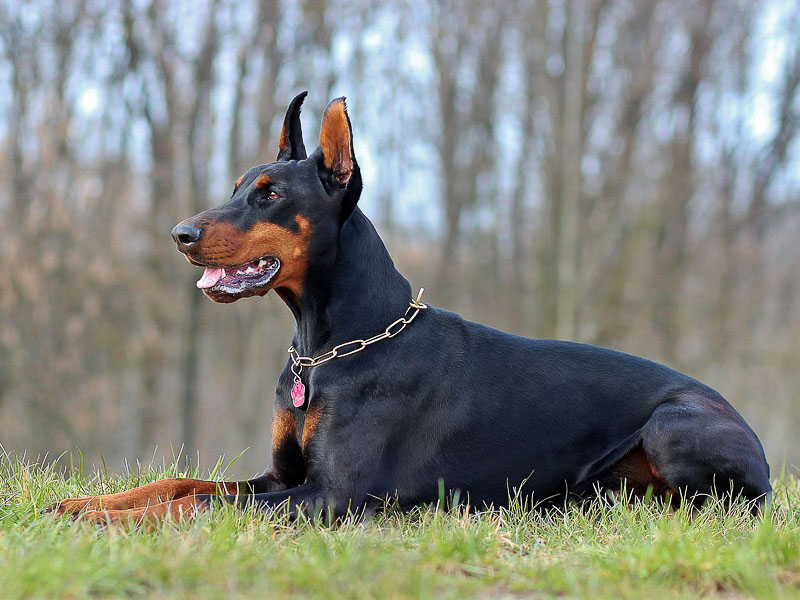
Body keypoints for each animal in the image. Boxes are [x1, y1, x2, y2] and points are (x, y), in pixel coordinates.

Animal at [48, 91, 768, 524]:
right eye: (235, 188)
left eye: (270, 194)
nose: (180, 233)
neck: (328, 347)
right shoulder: (280, 478)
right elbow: (178, 486)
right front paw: (82, 503)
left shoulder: (329, 495)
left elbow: (195, 508)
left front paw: (107, 522)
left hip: (674, 424)